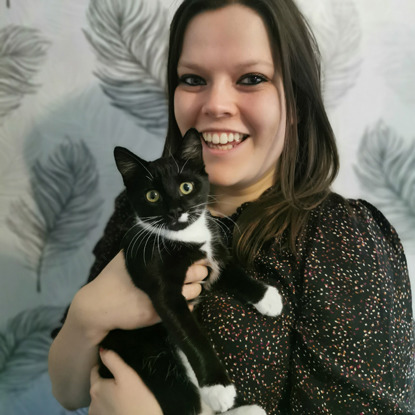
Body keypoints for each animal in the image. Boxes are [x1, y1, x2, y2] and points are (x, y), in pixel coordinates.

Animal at [100, 128, 282, 414]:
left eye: (186, 187)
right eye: (152, 195)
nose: (176, 211)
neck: (185, 237)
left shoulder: (213, 253)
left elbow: (234, 271)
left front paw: (268, 297)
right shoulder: (159, 284)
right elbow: (193, 335)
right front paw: (218, 387)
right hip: (148, 354)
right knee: (184, 400)